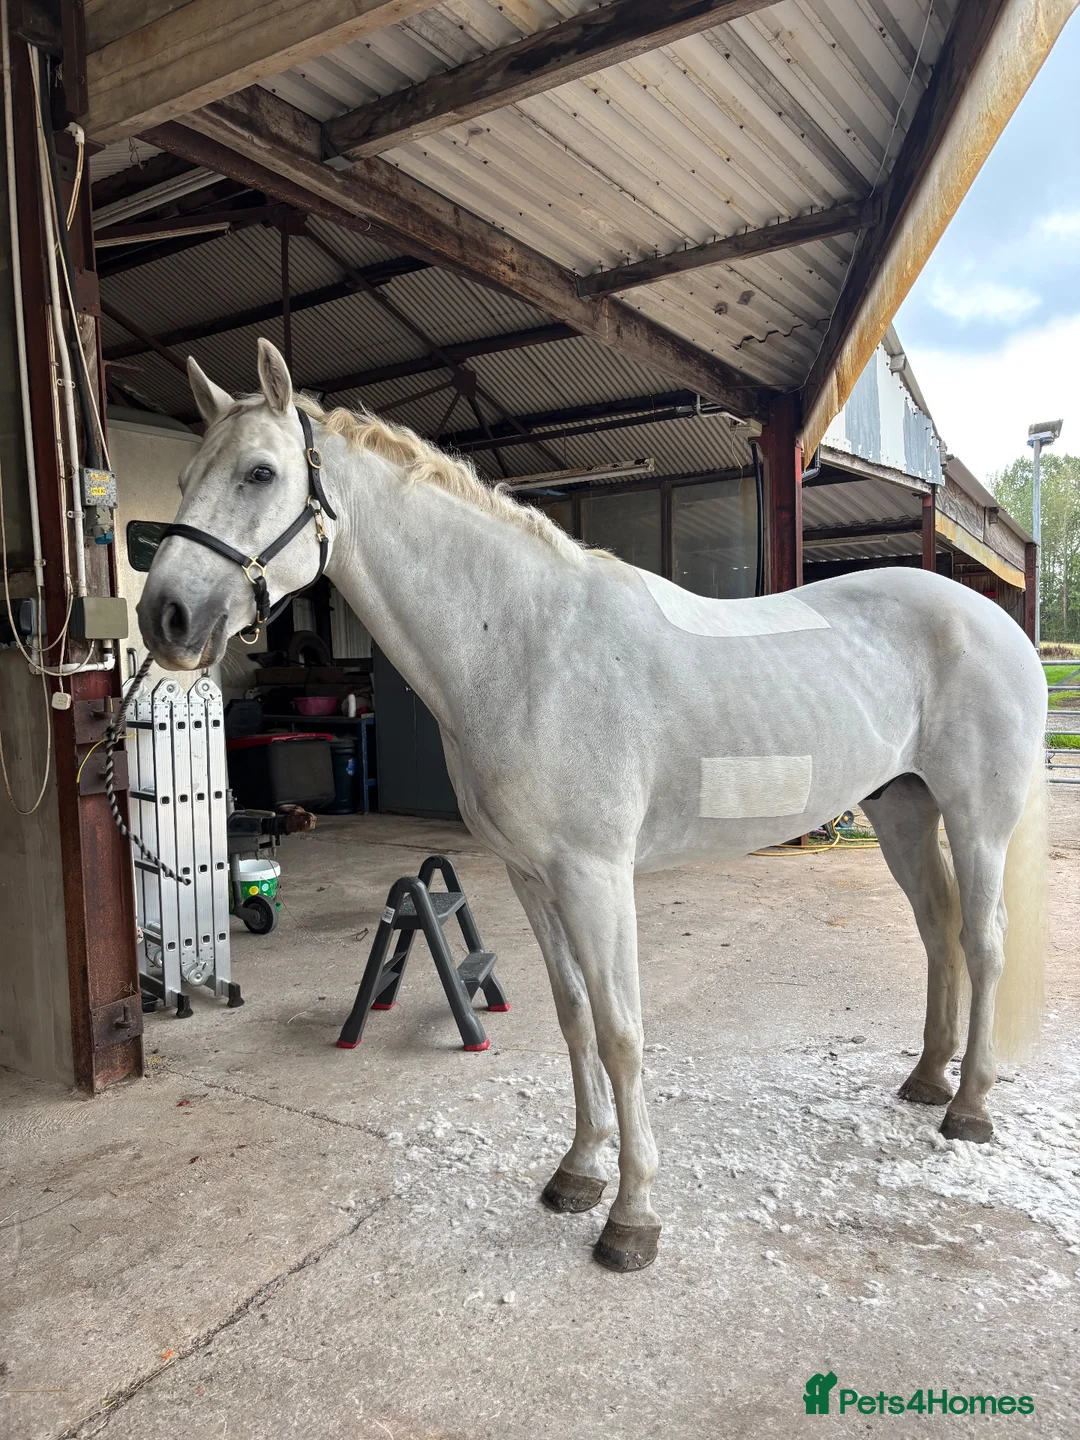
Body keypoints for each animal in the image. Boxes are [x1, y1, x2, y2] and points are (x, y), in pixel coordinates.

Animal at [138, 339, 1047, 1273]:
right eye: (182, 478)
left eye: (259, 472)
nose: (164, 617)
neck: (528, 648)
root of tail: (997, 623)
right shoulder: (532, 877)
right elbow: (575, 1019)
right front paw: (578, 1172)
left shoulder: (596, 878)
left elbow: (620, 1031)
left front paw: (633, 1216)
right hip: (902, 811)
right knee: (937, 930)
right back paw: (926, 1079)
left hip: (977, 820)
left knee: (982, 941)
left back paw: (969, 1108)